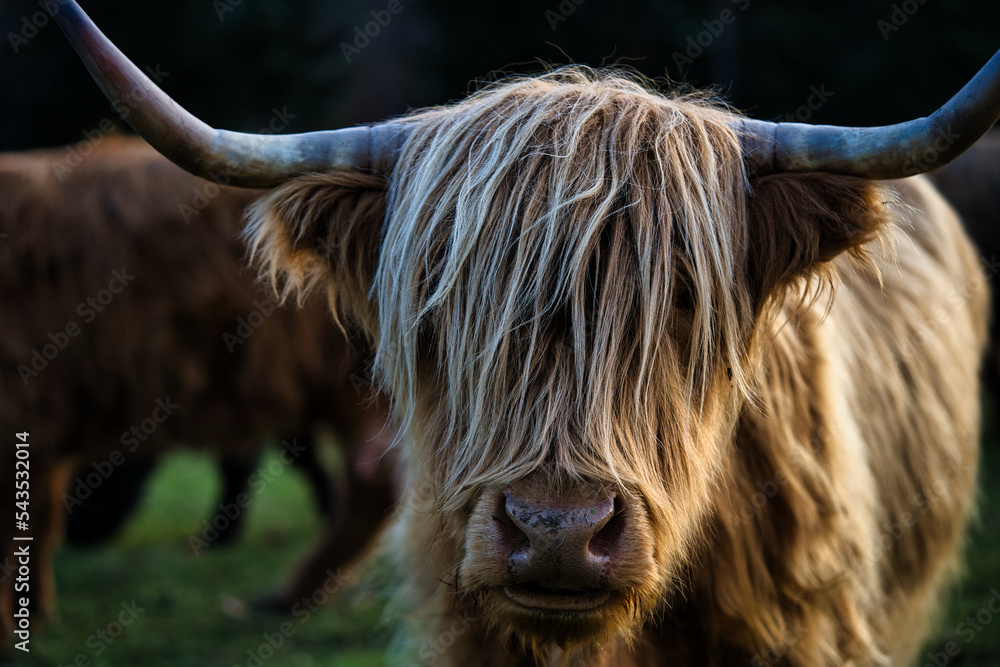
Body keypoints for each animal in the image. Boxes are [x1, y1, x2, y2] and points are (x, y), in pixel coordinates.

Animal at [0, 136, 396, 649]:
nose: (85, 533)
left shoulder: (26, 403)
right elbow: (38, 510)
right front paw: (35, 612)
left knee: (376, 477)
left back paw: (287, 596)